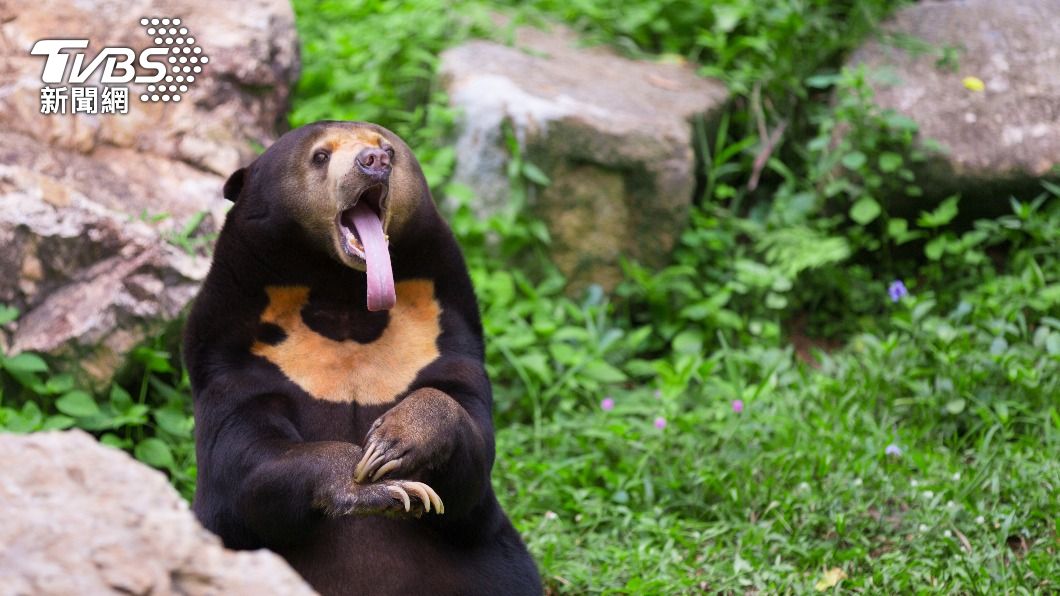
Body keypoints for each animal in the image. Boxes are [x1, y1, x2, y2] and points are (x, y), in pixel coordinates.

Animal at [183, 121, 542, 595]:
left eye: (387, 147)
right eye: (320, 156)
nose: (374, 162)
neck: (346, 301)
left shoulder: (443, 336)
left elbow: (472, 449)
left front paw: (394, 443)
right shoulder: (236, 356)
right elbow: (244, 458)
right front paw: (379, 487)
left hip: (488, 562)